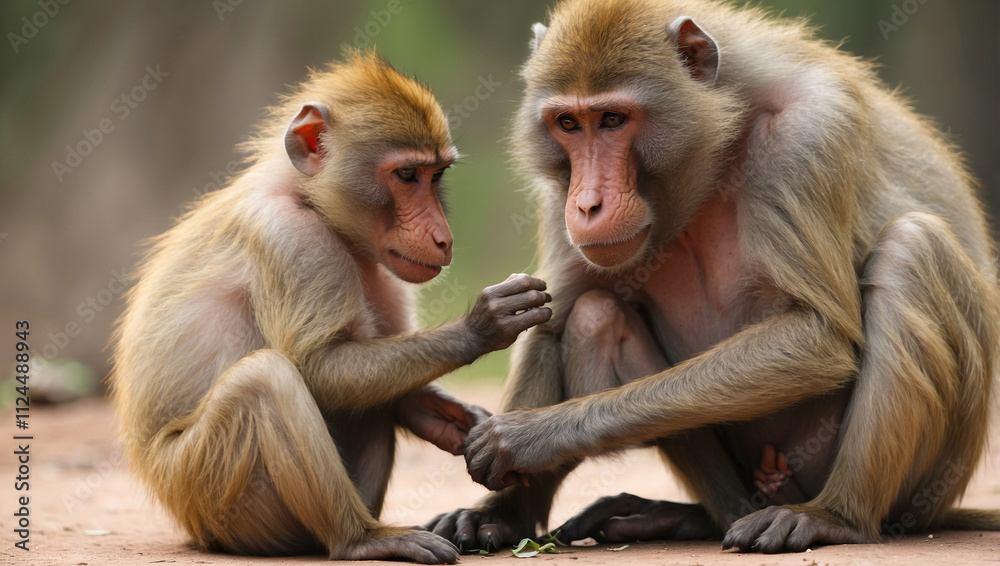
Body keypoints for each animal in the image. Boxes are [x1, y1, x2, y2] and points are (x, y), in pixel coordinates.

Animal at [110, 51, 552, 564]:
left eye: (436, 175)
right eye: (407, 176)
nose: (444, 238)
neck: (309, 201)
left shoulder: (385, 269)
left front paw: (457, 422)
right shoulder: (292, 238)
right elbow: (317, 368)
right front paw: (481, 327)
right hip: (209, 489)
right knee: (263, 381)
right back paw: (359, 538)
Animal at [427, 0, 1000, 554]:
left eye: (612, 119)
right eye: (568, 124)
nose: (587, 204)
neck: (720, 135)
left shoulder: (807, 135)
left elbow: (819, 337)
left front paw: (533, 436)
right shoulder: (559, 190)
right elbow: (550, 319)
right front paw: (504, 514)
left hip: (923, 482)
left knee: (911, 248)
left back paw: (835, 516)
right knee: (594, 314)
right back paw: (686, 517)